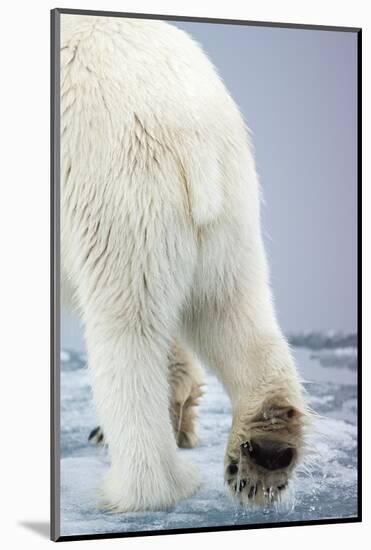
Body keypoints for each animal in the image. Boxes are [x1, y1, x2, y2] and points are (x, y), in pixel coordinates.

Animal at [60, 14, 308, 512]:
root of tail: (190, 132)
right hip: (231, 208)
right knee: (230, 307)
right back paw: (264, 450)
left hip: (119, 192)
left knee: (125, 327)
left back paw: (143, 486)